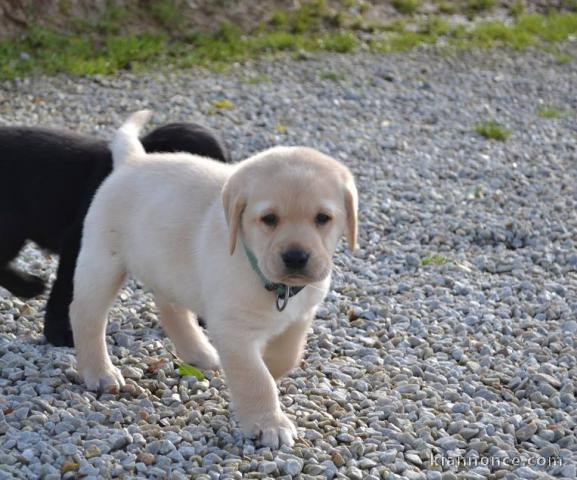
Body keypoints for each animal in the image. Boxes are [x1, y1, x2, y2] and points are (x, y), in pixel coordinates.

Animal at [70, 110, 358, 448]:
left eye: (323, 218)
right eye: (269, 219)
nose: (296, 257)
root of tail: (134, 159)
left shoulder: (302, 315)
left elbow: (286, 355)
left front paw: (272, 369)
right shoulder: (233, 329)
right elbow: (254, 377)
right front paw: (269, 423)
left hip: (168, 268)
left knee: (170, 309)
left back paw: (200, 353)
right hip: (103, 260)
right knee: (86, 314)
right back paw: (101, 372)